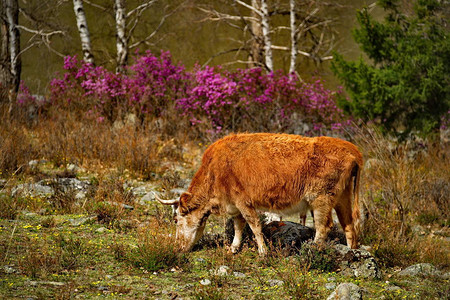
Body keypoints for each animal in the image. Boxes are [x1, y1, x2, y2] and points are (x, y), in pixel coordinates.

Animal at [157, 132, 362, 254]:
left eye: (176, 220)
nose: (177, 247)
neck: (215, 170)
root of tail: (353, 149)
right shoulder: (234, 205)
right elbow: (239, 226)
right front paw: (233, 247)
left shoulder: (243, 201)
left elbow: (254, 225)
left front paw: (263, 251)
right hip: (343, 198)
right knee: (348, 225)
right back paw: (352, 252)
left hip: (321, 199)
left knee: (323, 226)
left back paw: (313, 250)